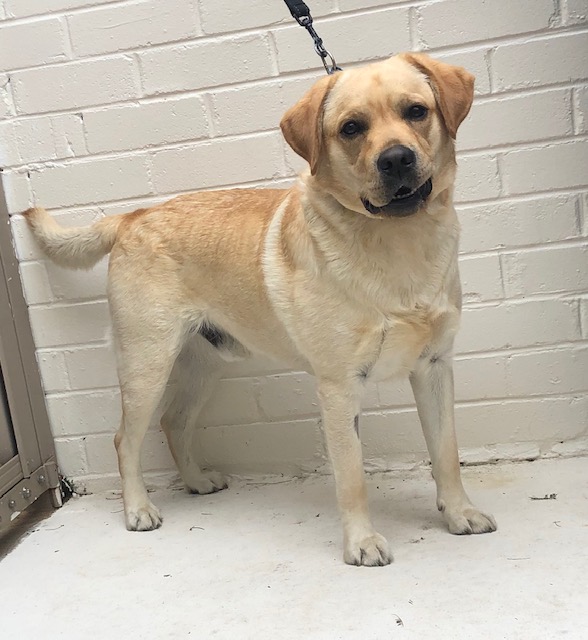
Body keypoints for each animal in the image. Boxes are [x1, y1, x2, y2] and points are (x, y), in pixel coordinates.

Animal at [24, 52, 496, 566]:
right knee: (125, 438)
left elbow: (446, 453)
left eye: (416, 111)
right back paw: (138, 509)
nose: (395, 159)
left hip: (203, 363)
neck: (399, 242)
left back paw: (196, 481)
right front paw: (361, 543)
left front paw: (459, 514)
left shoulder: (434, 367)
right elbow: (352, 477)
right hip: (146, 365)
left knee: (175, 422)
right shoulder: (339, 387)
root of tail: (132, 216)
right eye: (351, 128)